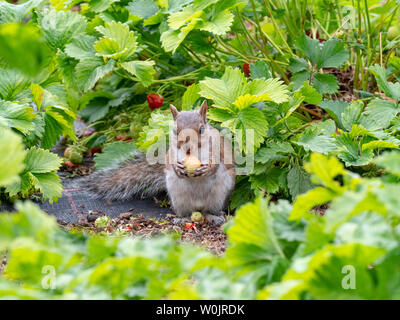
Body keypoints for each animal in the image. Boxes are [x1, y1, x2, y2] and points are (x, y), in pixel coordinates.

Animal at [83, 101, 236, 224]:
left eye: (201, 129)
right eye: (175, 130)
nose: (186, 147)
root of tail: (199, 206)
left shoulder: (217, 148)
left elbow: (216, 164)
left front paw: (207, 169)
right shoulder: (172, 152)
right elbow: (171, 163)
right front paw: (177, 168)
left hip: (219, 196)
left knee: (208, 211)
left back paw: (214, 216)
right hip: (178, 198)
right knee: (188, 212)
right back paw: (183, 219)